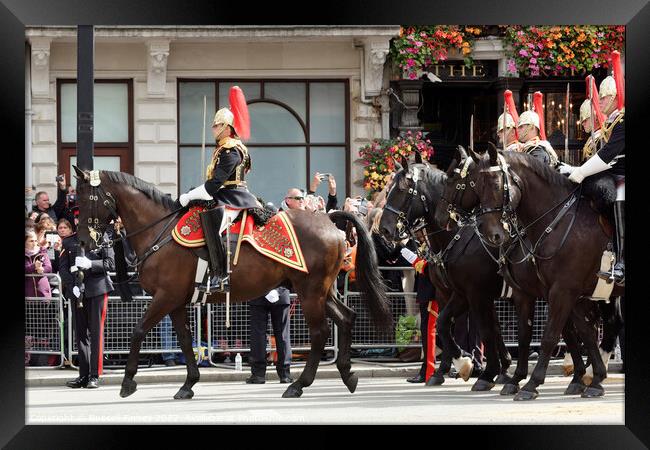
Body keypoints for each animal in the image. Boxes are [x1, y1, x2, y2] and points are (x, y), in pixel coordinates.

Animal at [73, 167, 392, 400]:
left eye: (86, 199)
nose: (83, 242)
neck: (159, 230)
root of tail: (329, 220)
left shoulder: (165, 297)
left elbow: (138, 331)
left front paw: (128, 382)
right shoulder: (176, 301)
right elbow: (186, 340)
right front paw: (188, 384)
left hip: (310, 291)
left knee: (320, 332)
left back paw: (298, 384)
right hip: (320, 290)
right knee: (346, 318)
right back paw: (347, 375)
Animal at [380, 156, 512, 390]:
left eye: (402, 190)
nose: (384, 229)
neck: (456, 235)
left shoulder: (474, 295)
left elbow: (485, 330)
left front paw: (478, 367)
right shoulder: (449, 293)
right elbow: (443, 324)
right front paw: (444, 369)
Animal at [436, 145, 624, 400]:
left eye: (495, 185)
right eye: (477, 185)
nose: (492, 234)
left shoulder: (561, 291)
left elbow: (550, 335)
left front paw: (531, 382)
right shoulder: (538, 292)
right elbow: (551, 333)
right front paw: (592, 379)